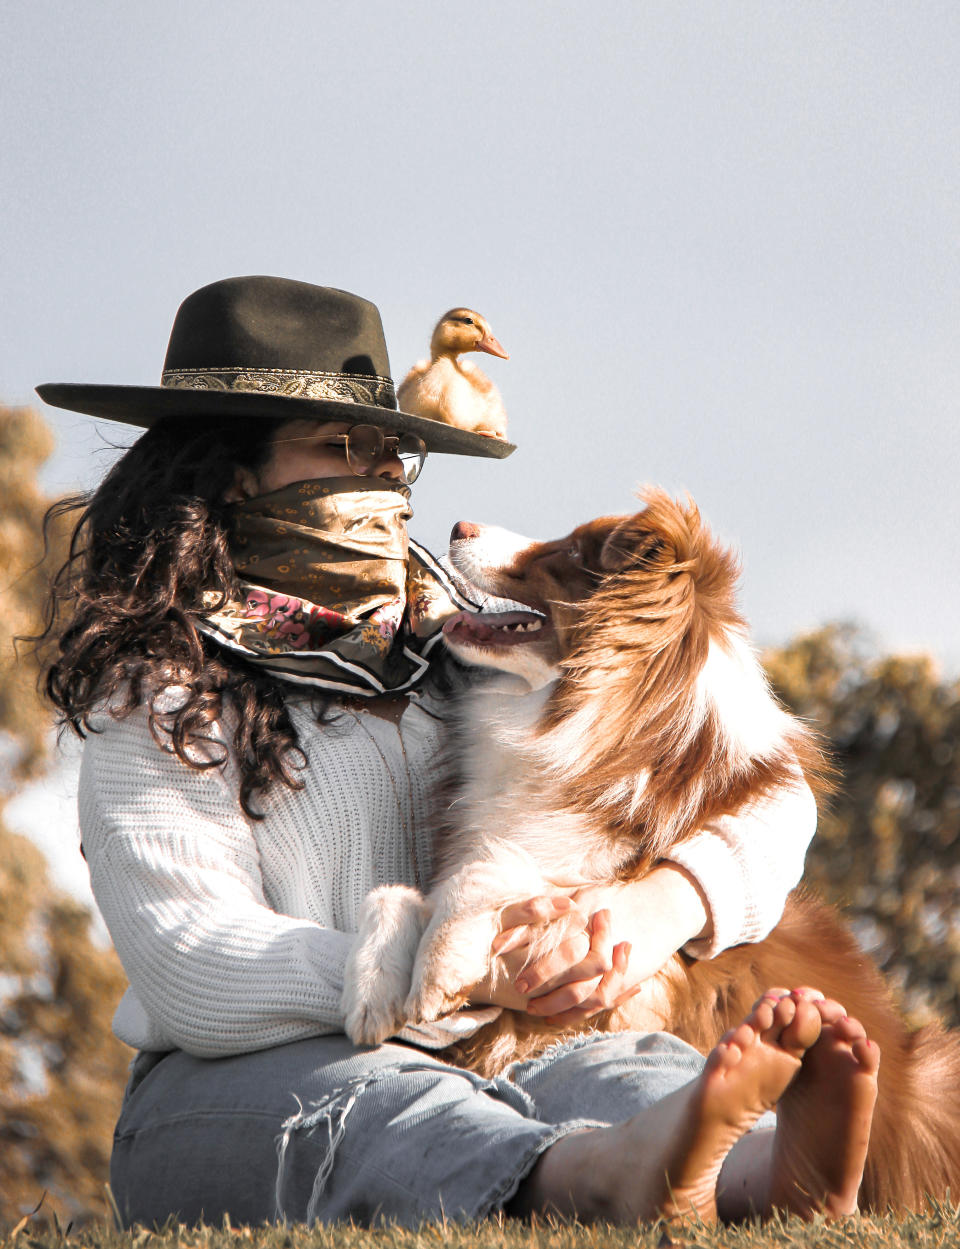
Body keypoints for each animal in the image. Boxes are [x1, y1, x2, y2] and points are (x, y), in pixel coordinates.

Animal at [342, 487, 958, 1209]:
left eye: (571, 552)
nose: (458, 523)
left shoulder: (618, 949)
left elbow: (495, 870)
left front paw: (438, 963)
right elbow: (396, 892)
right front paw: (373, 984)